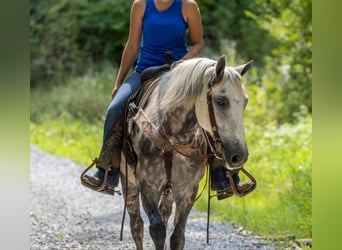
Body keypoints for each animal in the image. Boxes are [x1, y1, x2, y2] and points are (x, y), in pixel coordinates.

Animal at [119, 56, 251, 250]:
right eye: (220, 101)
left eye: (245, 101)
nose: (239, 155)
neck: (173, 138)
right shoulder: (148, 187)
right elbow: (157, 230)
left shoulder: (188, 190)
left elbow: (177, 236)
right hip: (129, 183)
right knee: (137, 226)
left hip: (169, 191)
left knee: (164, 215)